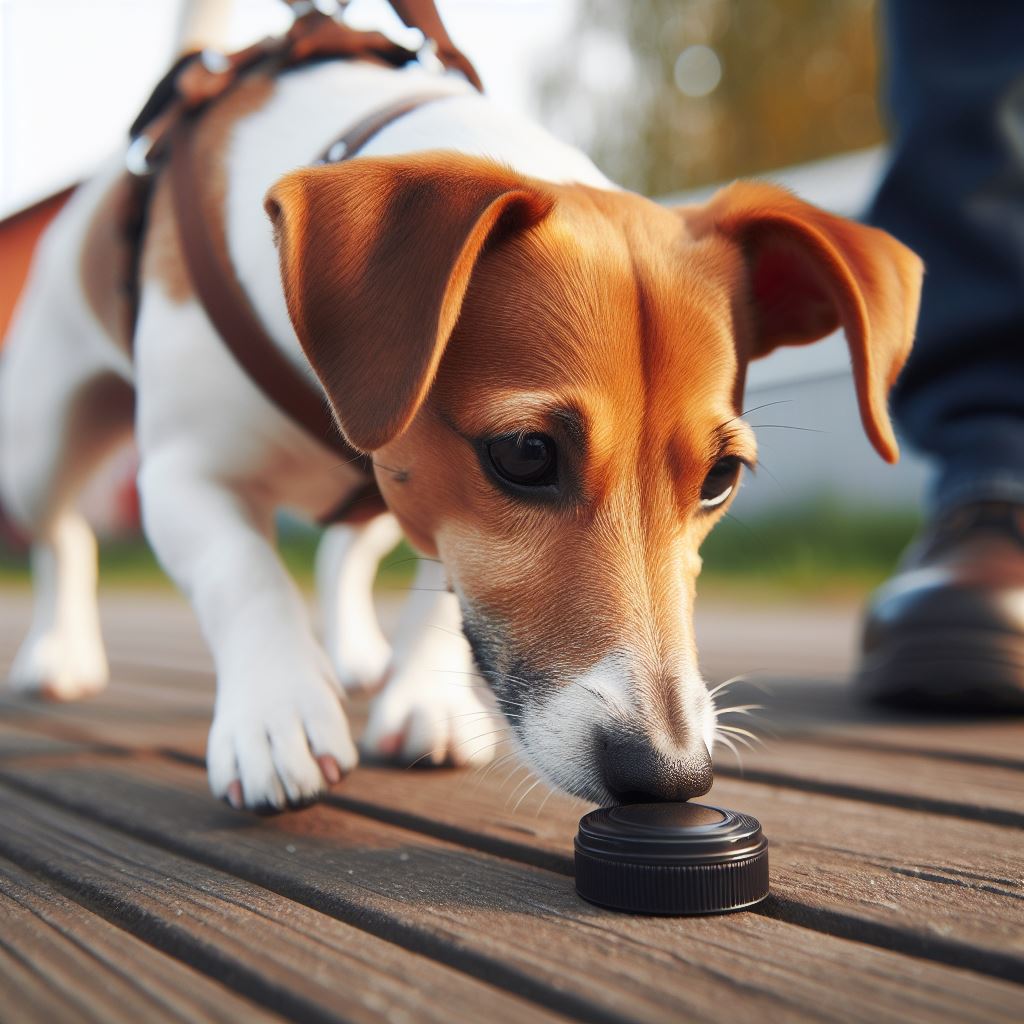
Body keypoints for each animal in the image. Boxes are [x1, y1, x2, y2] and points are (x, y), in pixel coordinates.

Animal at [0, 56, 921, 811]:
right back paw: (59, 653)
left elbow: (441, 589)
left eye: (719, 479)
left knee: (347, 548)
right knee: (62, 535)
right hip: (42, 443)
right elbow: (245, 575)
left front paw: (424, 697)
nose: (669, 776)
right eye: (525, 455)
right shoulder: (185, 475)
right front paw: (276, 711)